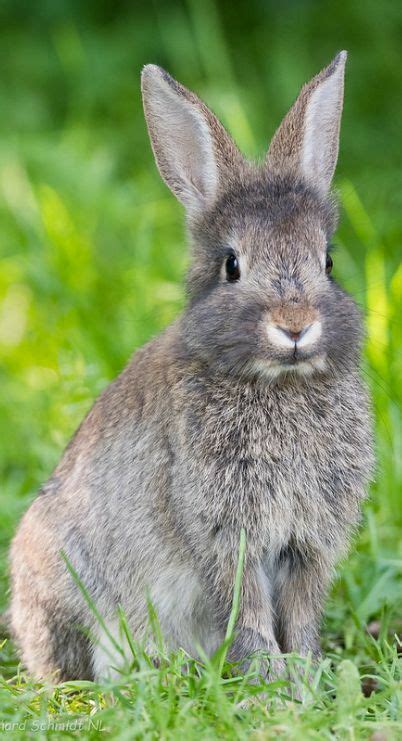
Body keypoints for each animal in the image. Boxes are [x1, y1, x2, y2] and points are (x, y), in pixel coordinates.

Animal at [8, 52, 374, 684]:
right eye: (232, 265)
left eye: (327, 261)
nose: (296, 325)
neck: (278, 382)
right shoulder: (226, 530)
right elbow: (247, 607)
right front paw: (271, 680)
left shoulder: (309, 541)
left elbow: (301, 612)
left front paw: (305, 676)